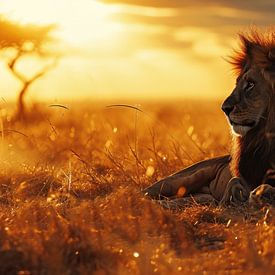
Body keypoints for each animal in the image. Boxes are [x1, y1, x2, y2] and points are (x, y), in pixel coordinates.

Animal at [143, 29, 275, 209]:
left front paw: (261, 194)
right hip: (179, 180)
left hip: (201, 197)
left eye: (250, 84)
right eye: (237, 83)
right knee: (146, 193)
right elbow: (239, 183)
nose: (224, 108)